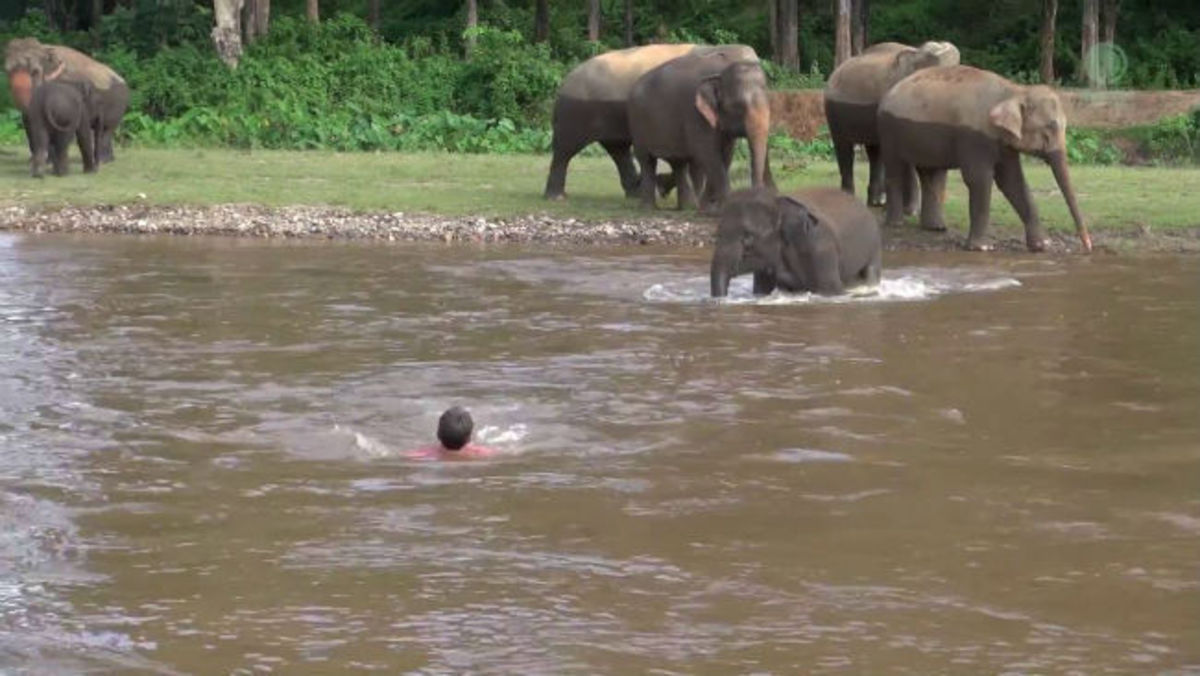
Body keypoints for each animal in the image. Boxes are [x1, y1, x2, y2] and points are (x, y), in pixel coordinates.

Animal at [542, 42, 753, 199]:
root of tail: (564, 81)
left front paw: (663, 186)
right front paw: (664, 186)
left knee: (618, 149)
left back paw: (636, 193)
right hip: (575, 112)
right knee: (565, 150)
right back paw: (557, 197)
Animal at [628, 52, 777, 210]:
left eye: (769, 102)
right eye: (737, 106)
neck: (722, 69)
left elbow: (725, 154)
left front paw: (708, 206)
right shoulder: (695, 115)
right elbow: (708, 153)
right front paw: (725, 204)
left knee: (678, 164)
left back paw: (687, 207)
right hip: (637, 125)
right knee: (646, 161)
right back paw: (648, 207)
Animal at [710, 187, 883, 298]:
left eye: (748, 237)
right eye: (717, 235)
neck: (777, 201)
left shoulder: (820, 248)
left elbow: (830, 290)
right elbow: (761, 290)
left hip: (874, 246)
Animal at [820, 41, 960, 207]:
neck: (916, 52)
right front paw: (911, 209)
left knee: (874, 151)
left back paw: (876, 201)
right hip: (833, 112)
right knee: (844, 147)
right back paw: (851, 197)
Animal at [878, 65, 1094, 254]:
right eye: (1051, 126)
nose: (1088, 247)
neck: (1014, 91)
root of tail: (889, 92)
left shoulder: (1004, 142)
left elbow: (1012, 181)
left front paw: (1042, 246)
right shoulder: (974, 137)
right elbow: (978, 179)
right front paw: (982, 248)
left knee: (931, 173)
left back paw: (936, 228)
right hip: (889, 130)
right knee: (895, 169)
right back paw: (896, 223)